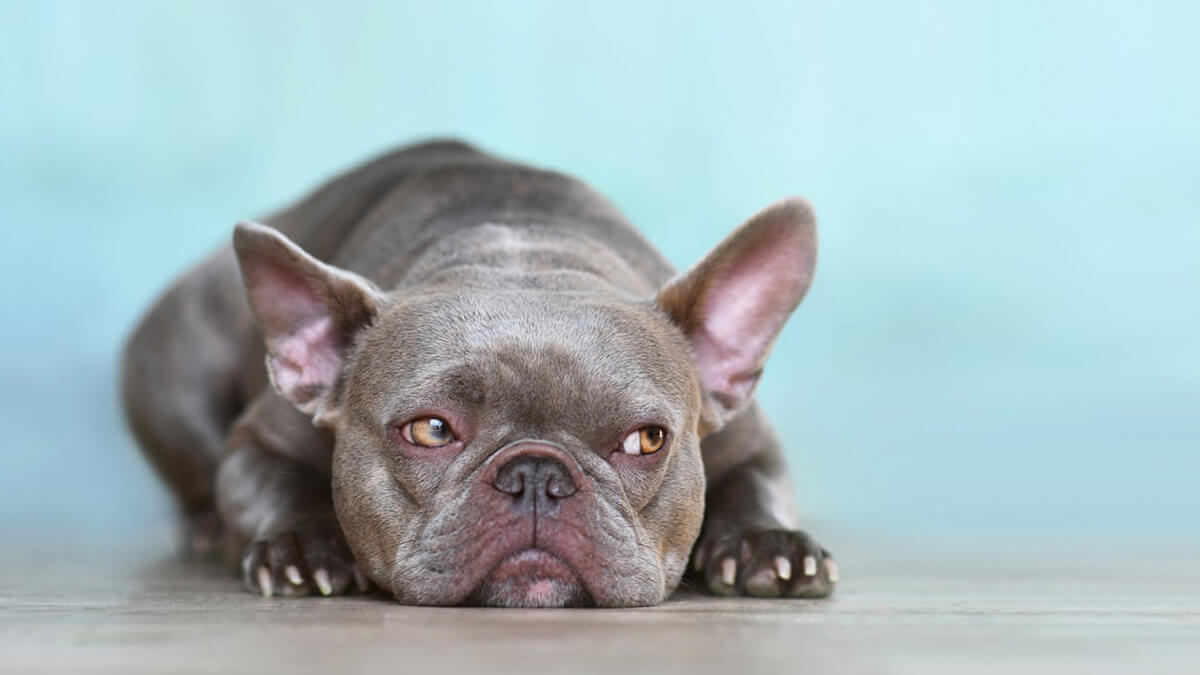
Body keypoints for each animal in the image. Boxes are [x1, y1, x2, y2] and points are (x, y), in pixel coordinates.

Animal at [121, 140, 835, 605]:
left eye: (646, 441)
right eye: (431, 430)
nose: (537, 475)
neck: (522, 254)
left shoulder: (751, 439)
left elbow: (756, 482)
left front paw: (768, 543)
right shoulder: (257, 441)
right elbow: (273, 482)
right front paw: (302, 546)